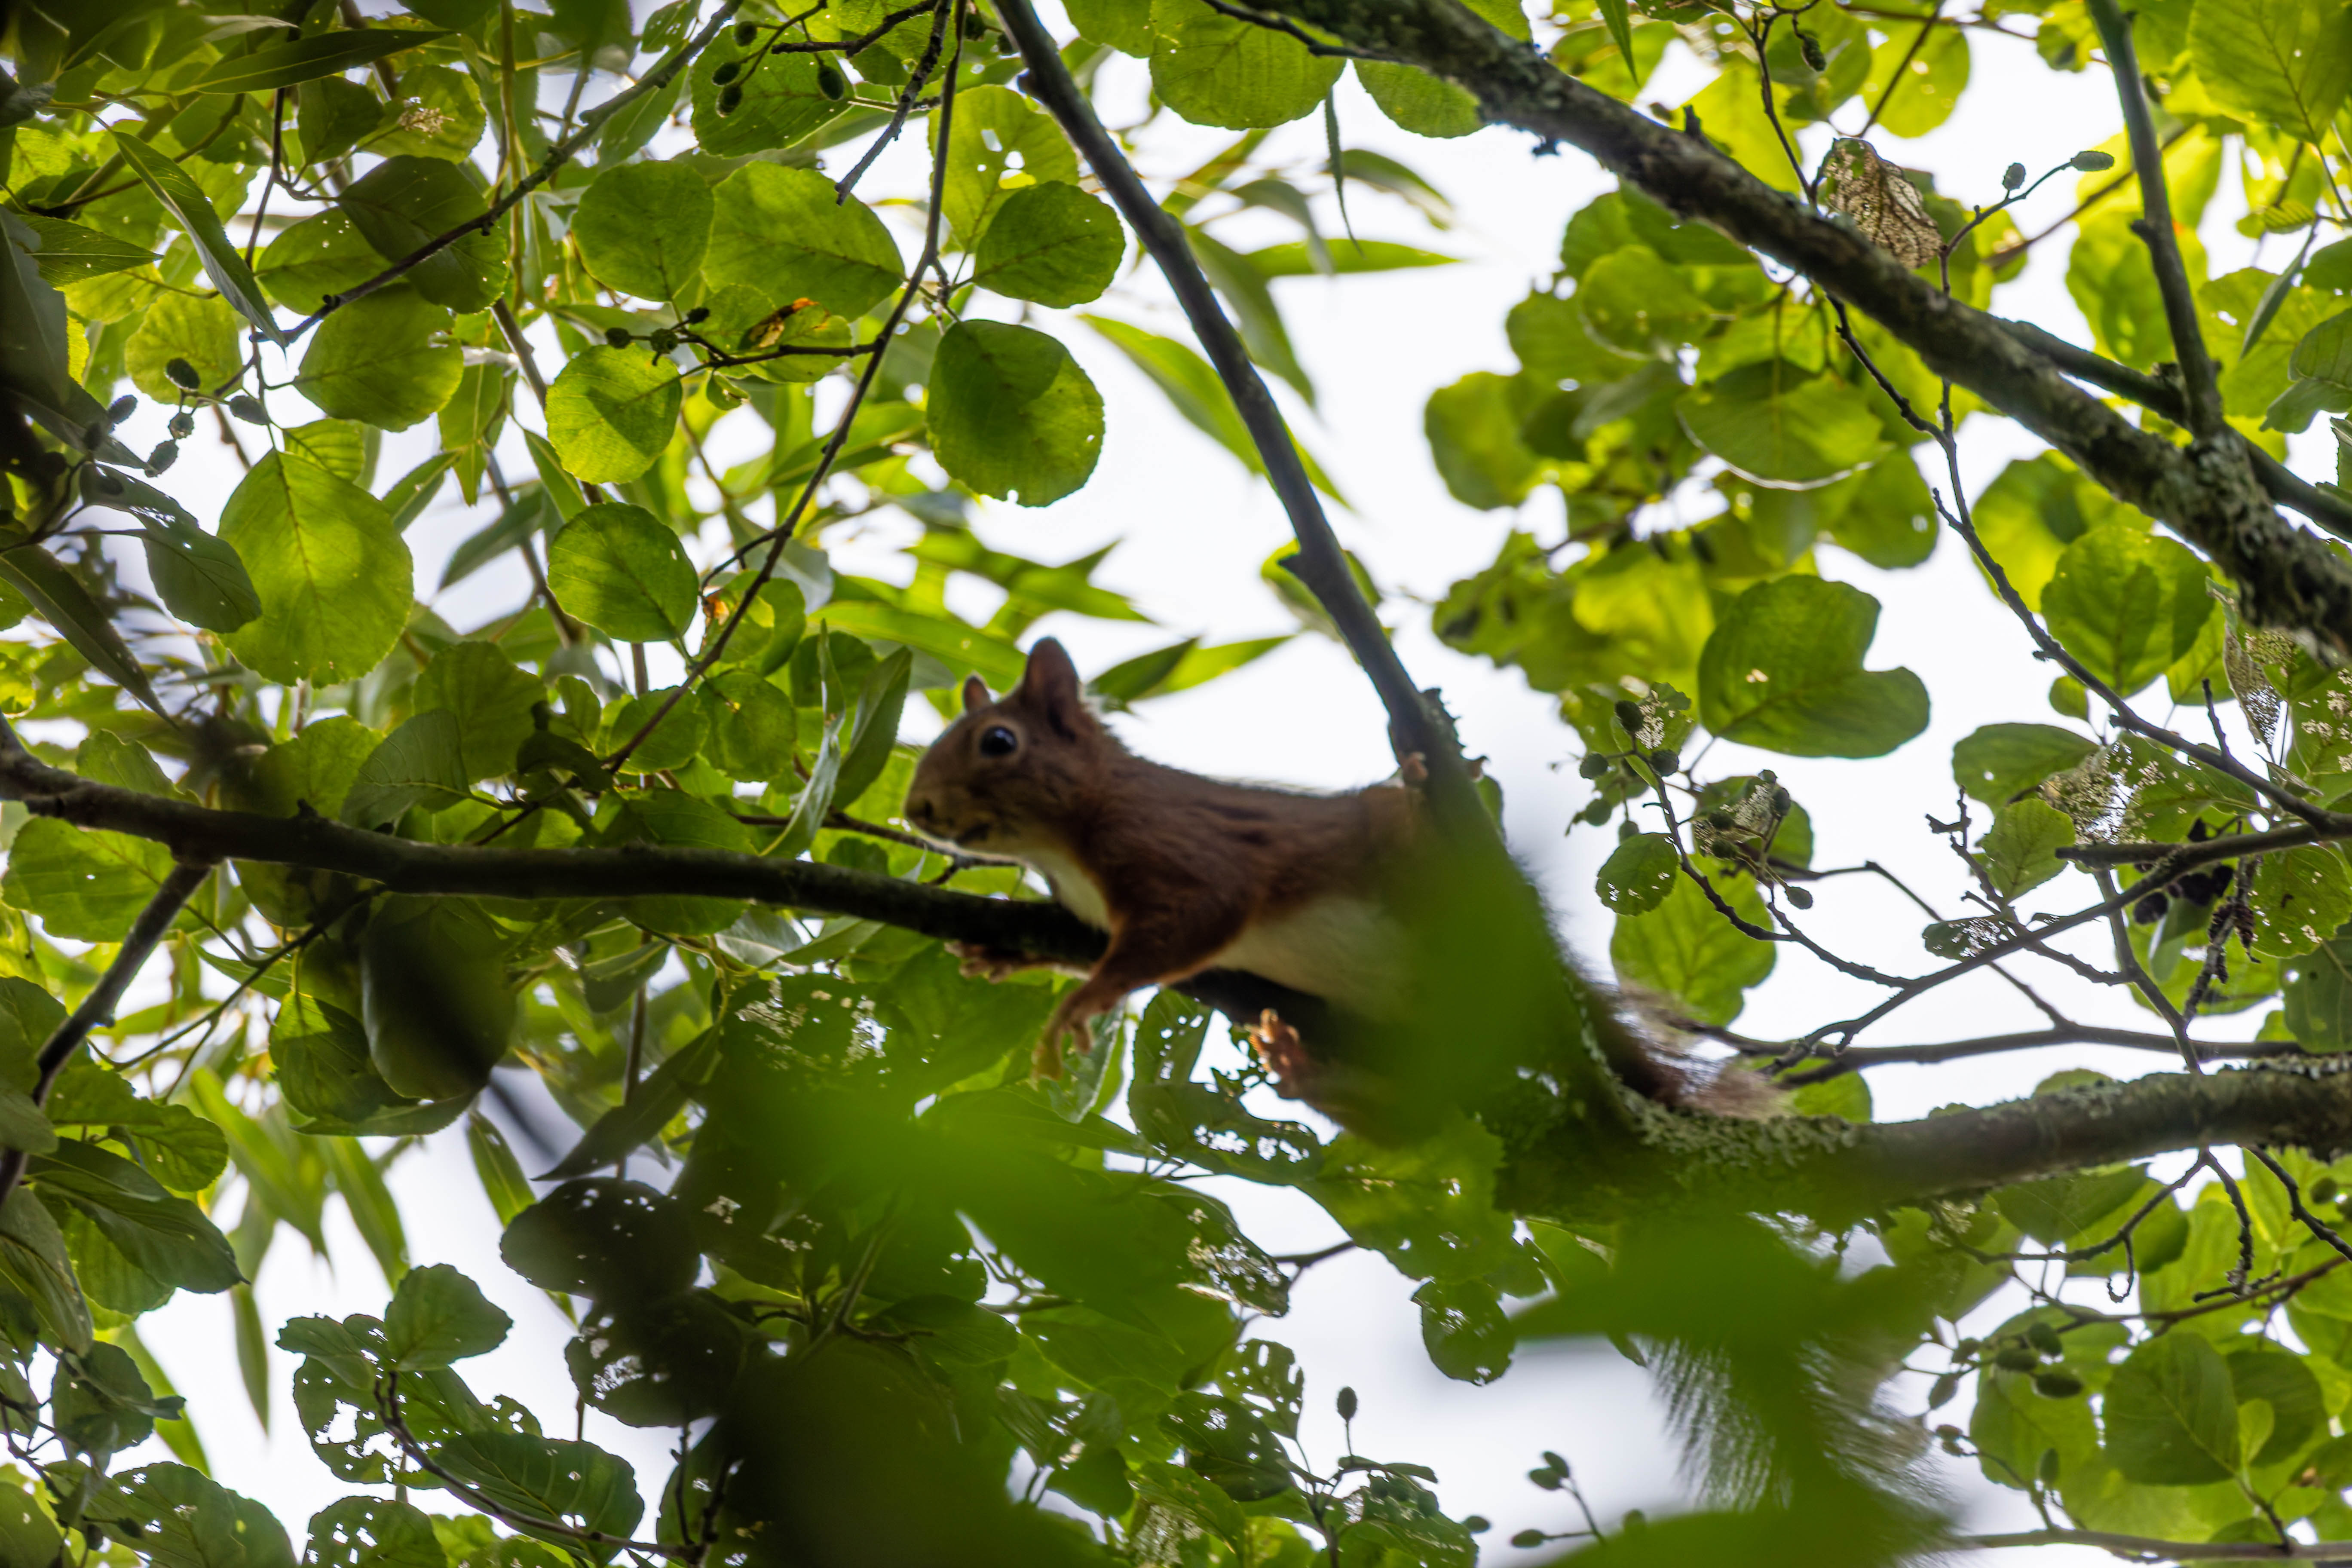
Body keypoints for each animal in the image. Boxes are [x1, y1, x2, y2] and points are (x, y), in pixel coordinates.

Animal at [904, 638, 1751, 1122]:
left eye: (998, 742)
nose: (916, 809)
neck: (1063, 845)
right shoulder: (1085, 909)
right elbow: (1080, 941)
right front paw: (1004, 952)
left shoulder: (1181, 844)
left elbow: (1200, 916)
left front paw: (1085, 1002)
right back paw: (1306, 1069)